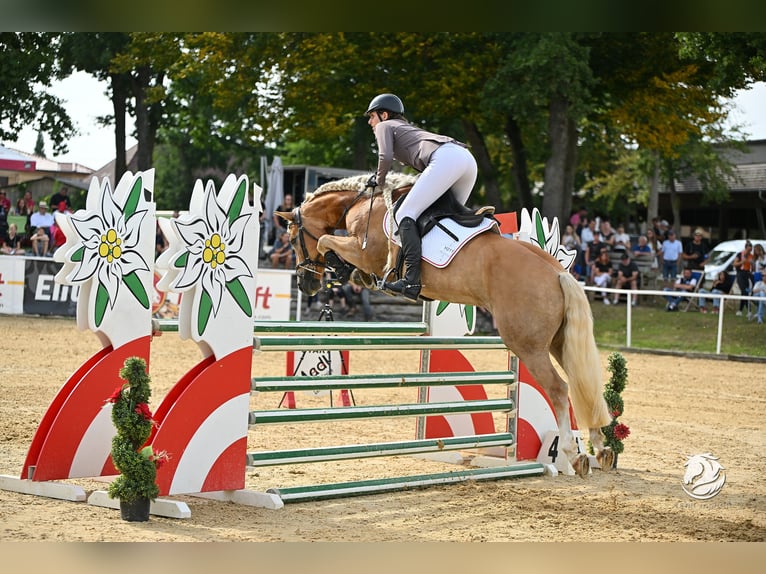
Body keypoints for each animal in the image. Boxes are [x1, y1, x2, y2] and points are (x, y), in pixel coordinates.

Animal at [280, 174, 616, 476]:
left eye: (292, 237)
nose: (306, 283)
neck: (361, 205)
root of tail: (558, 272)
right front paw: (349, 274)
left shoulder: (363, 251)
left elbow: (327, 240)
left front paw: (341, 268)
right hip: (557, 342)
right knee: (580, 382)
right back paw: (600, 447)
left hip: (527, 345)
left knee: (558, 388)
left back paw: (572, 452)